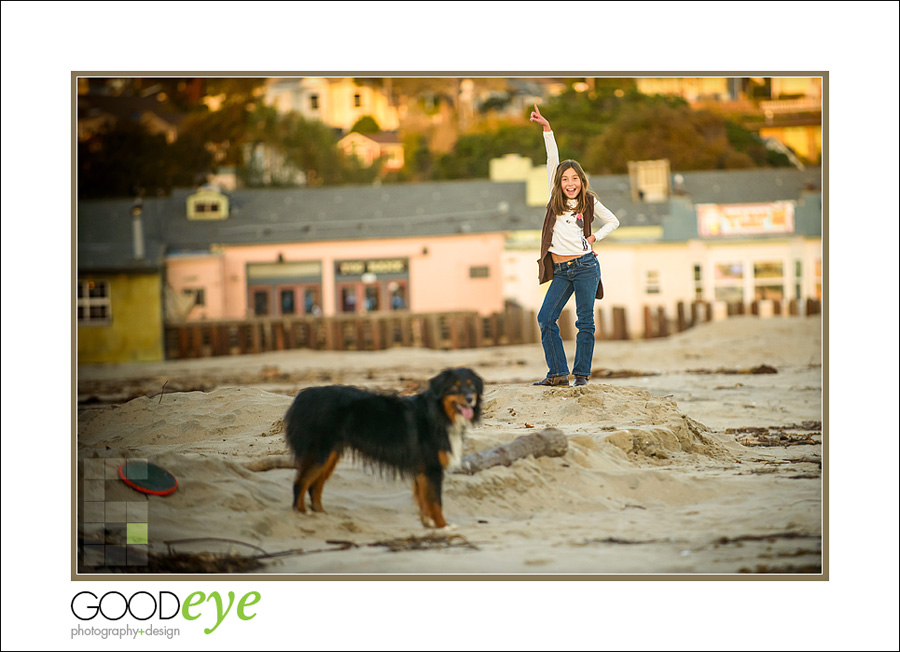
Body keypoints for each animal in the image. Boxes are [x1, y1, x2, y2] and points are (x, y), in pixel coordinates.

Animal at [286, 370, 486, 528]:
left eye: (472, 387)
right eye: (455, 387)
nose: (470, 399)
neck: (438, 413)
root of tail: (302, 397)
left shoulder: (421, 470)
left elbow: (424, 500)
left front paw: (428, 525)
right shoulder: (431, 467)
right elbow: (435, 502)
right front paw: (443, 527)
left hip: (330, 454)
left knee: (314, 486)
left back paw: (321, 516)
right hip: (320, 452)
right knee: (300, 483)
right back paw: (302, 514)